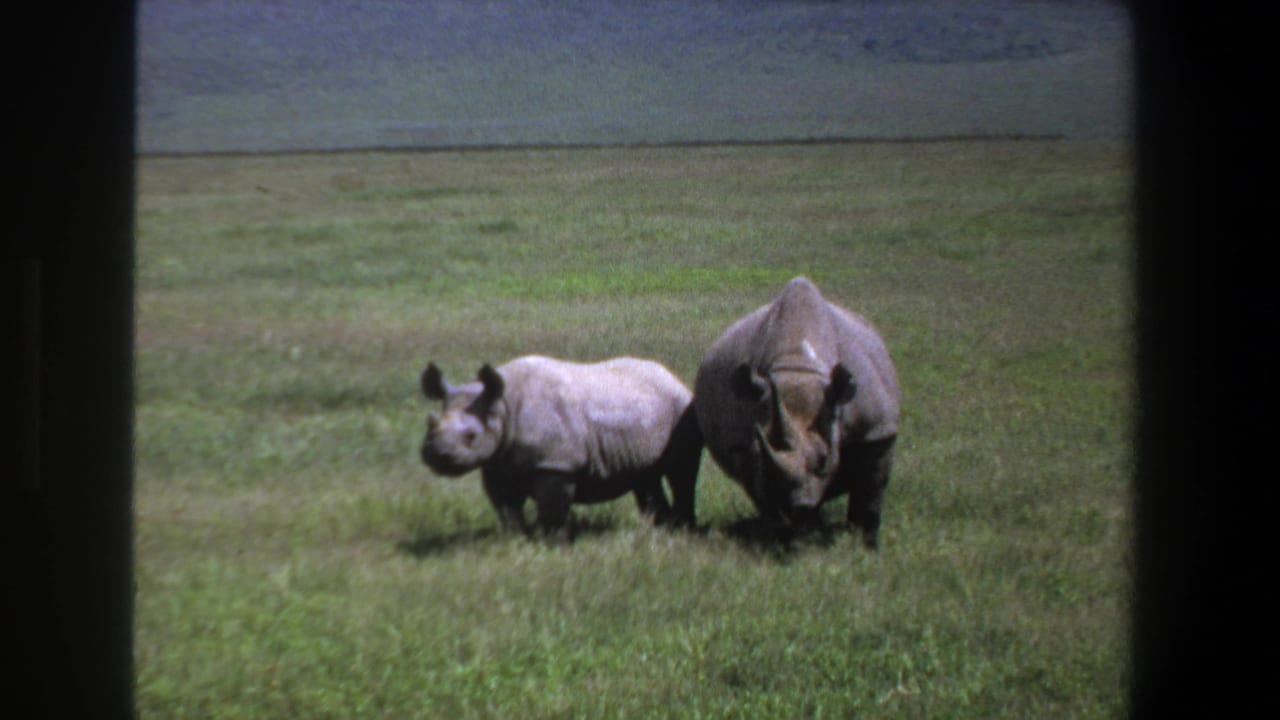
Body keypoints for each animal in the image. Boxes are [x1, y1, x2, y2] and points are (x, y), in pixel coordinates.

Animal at [419, 355, 701, 540]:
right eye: (430, 426)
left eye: (471, 436)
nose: (436, 456)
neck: (501, 407)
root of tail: (673, 376)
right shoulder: (497, 462)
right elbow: (506, 507)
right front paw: (516, 539)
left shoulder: (555, 463)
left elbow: (551, 507)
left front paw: (550, 542)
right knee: (645, 476)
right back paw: (660, 528)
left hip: (680, 406)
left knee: (682, 472)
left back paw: (682, 530)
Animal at [694, 277, 900, 549]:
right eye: (761, 450)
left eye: (825, 457)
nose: (799, 504)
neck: (799, 367)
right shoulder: (742, 444)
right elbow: (763, 495)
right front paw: (786, 541)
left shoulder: (876, 429)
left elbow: (871, 493)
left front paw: (868, 548)